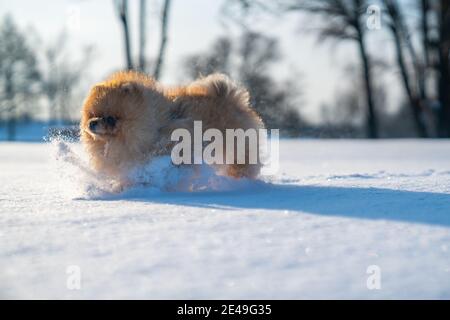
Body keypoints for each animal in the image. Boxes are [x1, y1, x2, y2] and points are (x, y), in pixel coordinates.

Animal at [80, 70, 264, 185]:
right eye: (92, 114)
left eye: (111, 118)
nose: (92, 123)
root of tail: (230, 98)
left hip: (237, 148)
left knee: (242, 164)